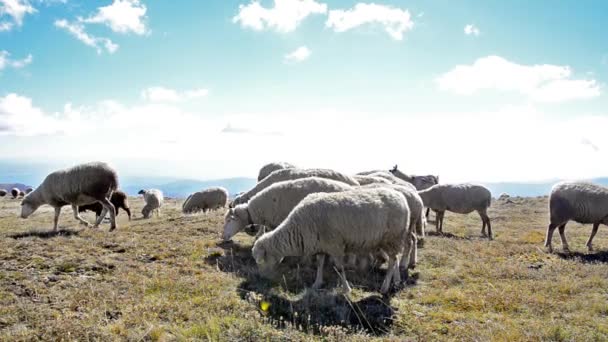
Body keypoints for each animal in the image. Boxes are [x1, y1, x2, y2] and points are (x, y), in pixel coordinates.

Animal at [249, 187, 410, 294]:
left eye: (260, 260)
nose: (261, 278)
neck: (298, 227)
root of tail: (401, 197)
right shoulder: (321, 244)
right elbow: (320, 264)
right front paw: (317, 283)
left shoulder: (335, 245)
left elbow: (339, 268)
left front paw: (346, 289)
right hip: (390, 240)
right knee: (394, 259)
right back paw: (396, 281)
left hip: (393, 237)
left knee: (392, 261)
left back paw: (384, 287)